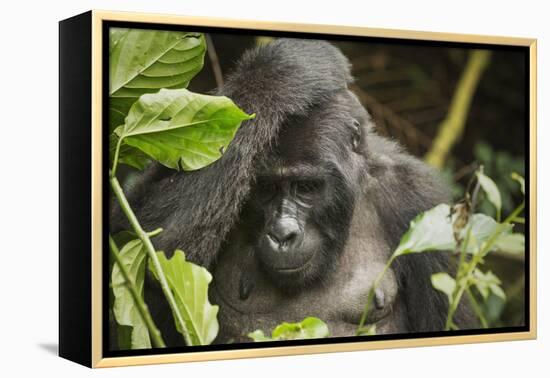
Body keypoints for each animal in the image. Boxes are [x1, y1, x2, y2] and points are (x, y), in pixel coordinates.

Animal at [111, 37, 474, 346]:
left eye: (307, 187)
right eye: (267, 188)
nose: (283, 233)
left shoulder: (419, 199)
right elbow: (148, 245)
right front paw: (284, 72)